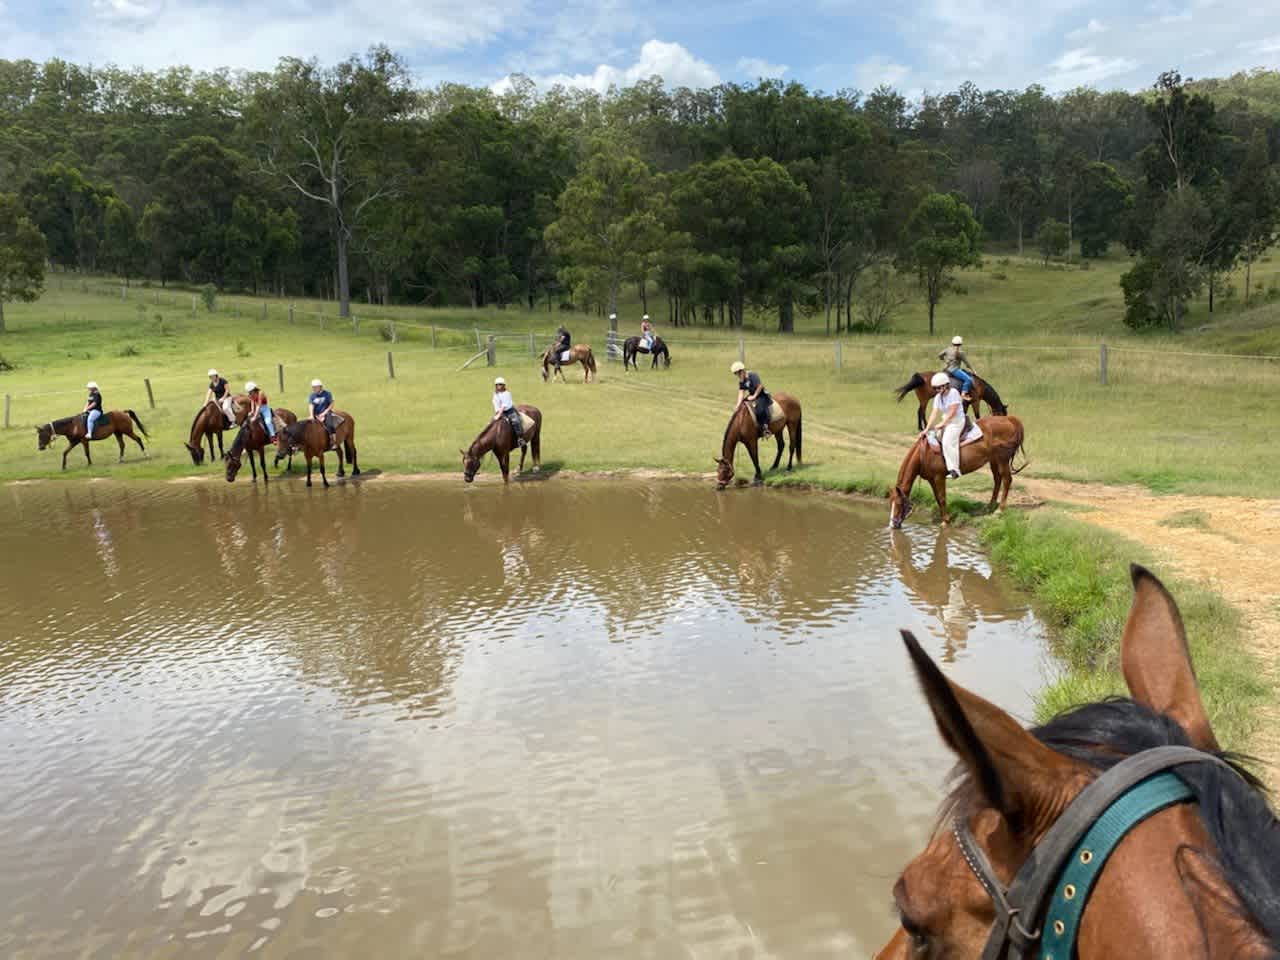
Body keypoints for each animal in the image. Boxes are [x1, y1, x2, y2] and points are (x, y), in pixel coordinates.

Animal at [885, 414, 1024, 529]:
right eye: (890, 503)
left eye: (899, 503)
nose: (893, 524)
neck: (923, 453)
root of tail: (1009, 419)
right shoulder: (932, 479)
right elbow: (937, 498)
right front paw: (945, 518)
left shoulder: (939, 477)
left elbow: (942, 498)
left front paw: (945, 521)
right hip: (994, 460)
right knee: (997, 479)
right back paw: (990, 505)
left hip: (1002, 459)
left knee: (1007, 480)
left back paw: (999, 510)